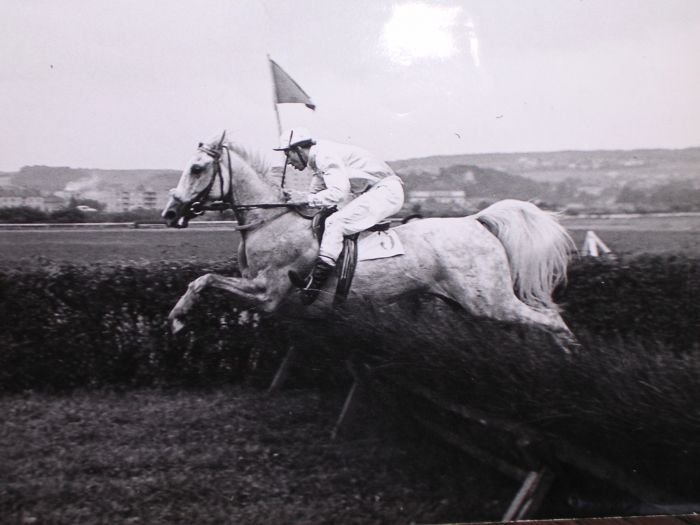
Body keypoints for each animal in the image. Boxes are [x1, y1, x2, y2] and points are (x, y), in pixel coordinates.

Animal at [161, 132, 576, 352]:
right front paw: (182, 319)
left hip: (489, 300)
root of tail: (475, 221)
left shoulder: (267, 292)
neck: (272, 219)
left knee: (551, 318)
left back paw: (570, 358)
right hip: (468, 303)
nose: (169, 212)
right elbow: (204, 282)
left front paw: (178, 319)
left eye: (196, 169)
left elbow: (204, 280)